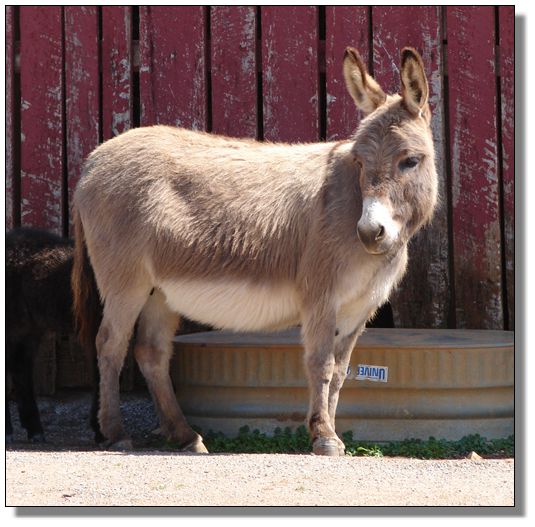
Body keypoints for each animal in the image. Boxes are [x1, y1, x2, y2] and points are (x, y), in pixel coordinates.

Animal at [72, 46, 437, 455]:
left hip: (159, 291)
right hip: (125, 281)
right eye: (359, 162)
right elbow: (320, 363)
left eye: (410, 161)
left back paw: (185, 435)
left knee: (150, 352)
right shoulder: (320, 296)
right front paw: (323, 436)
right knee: (110, 344)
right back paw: (116, 432)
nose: (370, 233)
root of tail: (93, 161)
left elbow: (342, 372)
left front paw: (331, 431)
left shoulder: (358, 308)